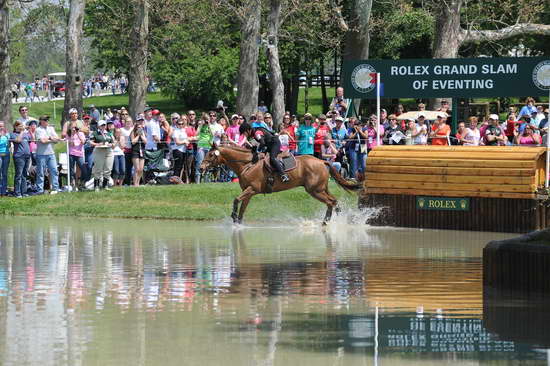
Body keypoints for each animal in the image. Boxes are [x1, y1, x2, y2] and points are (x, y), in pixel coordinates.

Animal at [201, 144, 364, 224]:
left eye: (211, 154)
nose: (201, 168)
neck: (247, 164)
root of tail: (322, 161)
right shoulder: (248, 193)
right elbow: (242, 209)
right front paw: (237, 223)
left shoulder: (252, 189)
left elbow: (236, 200)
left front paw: (233, 216)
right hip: (321, 188)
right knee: (334, 201)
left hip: (315, 191)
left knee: (331, 202)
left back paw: (327, 223)